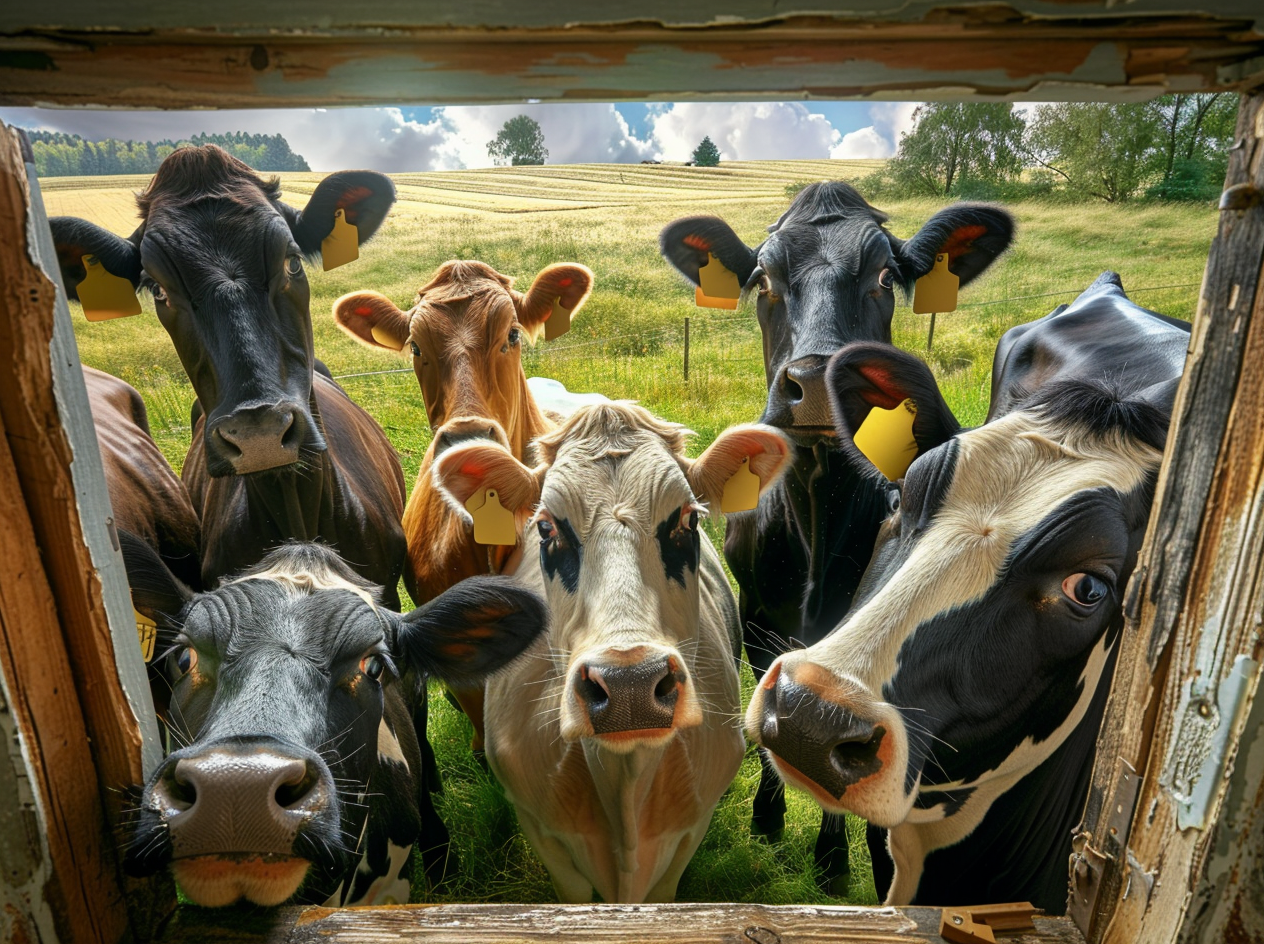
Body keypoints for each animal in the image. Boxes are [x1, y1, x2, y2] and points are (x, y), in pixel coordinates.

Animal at [660, 181, 1015, 889]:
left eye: (883, 276)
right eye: (763, 278)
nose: (817, 383)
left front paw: (839, 861)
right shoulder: (760, 619)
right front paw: (768, 819)